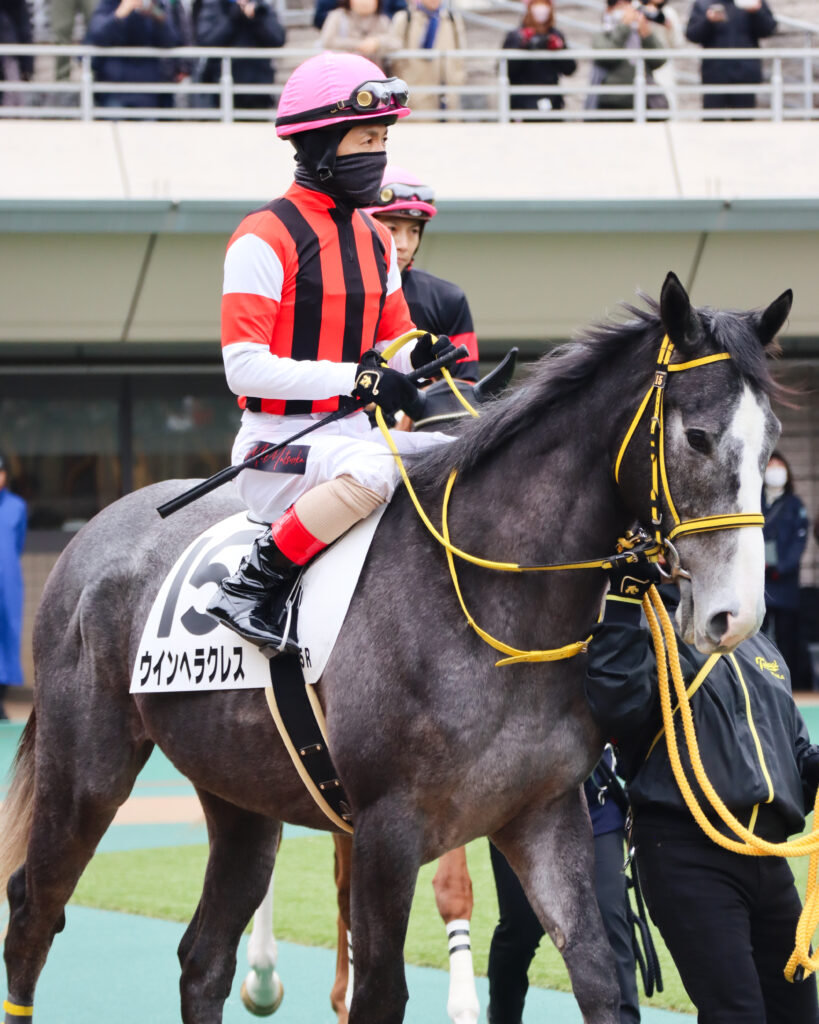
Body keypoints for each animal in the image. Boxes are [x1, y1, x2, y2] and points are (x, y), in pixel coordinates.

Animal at [0, 273, 789, 1024]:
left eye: (772, 438)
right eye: (696, 436)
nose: (737, 613)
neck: (488, 600)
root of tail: (99, 528)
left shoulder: (541, 812)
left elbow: (598, 977)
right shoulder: (386, 828)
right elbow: (380, 992)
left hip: (239, 794)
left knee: (203, 959)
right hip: (87, 771)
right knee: (33, 913)